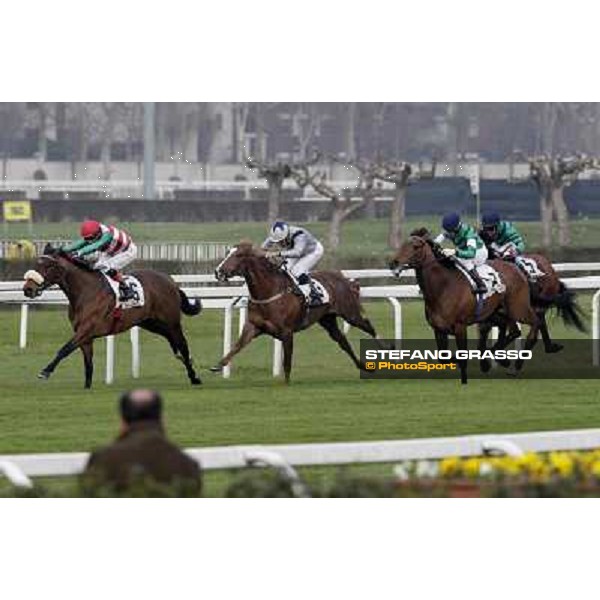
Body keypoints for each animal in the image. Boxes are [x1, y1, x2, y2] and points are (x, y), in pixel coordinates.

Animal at [22, 245, 203, 390]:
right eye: (36, 264)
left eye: (48, 266)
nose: (28, 289)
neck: (85, 291)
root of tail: (171, 281)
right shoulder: (85, 336)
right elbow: (88, 363)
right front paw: (87, 387)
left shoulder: (86, 330)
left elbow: (64, 349)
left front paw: (45, 371)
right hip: (150, 323)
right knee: (172, 340)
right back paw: (183, 360)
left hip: (172, 322)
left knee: (182, 343)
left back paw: (194, 376)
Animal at [211, 241, 380, 382]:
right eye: (227, 252)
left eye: (238, 255)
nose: (218, 271)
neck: (269, 292)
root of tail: (342, 278)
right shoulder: (253, 327)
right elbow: (236, 346)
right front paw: (218, 365)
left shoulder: (287, 332)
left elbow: (287, 361)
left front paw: (286, 384)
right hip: (327, 319)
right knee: (342, 341)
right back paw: (362, 366)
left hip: (350, 314)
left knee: (369, 326)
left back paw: (383, 346)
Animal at [390, 230, 540, 384]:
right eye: (402, 244)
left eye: (415, 246)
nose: (393, 262)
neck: (443, 287)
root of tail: (516, 268)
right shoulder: (438, 329)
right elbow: (443, 357)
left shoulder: (460, 327)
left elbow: (462, 355)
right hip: (498, 312)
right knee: (514, 330)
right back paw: (499, 359)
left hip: (518, 308)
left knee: (535, 322)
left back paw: (516, 363)